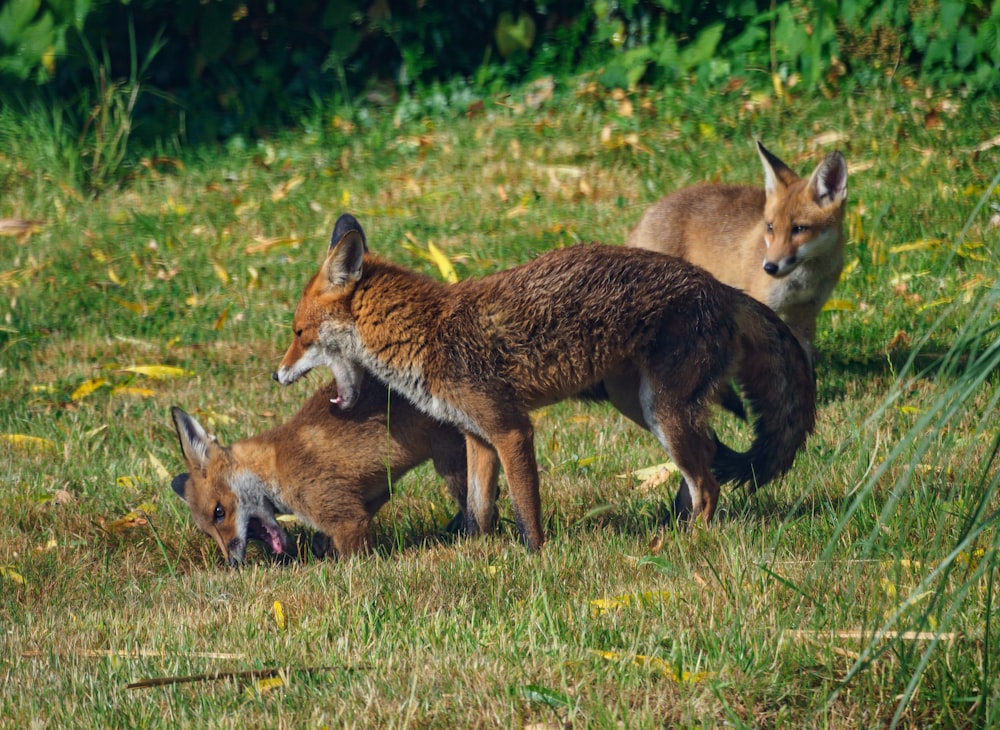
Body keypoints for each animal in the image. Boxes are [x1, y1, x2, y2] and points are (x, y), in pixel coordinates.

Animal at [170, 376, 470, 564]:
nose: (233, 563)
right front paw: (321, 547)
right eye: (208, 532)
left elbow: (355, 558)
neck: (275, 465)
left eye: (219, 512)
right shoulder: (374, 492)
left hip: (450, 462)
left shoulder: (343, 515)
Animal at [272, 216, 812, 552]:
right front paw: (480, 554)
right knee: (706, 465)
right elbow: (480, 511)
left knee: (709, 486)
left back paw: (686, 541)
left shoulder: (511, 429)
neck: (427, 334)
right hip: (641, 406)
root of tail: (722, 288)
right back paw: (670, 527)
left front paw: (535, 557)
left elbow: (524, 508)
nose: (275, 375)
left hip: (662, 410)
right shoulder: (476, 436)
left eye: (298, 333)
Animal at [628, 139, 848, 356]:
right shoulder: (764, 305)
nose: (769, 267)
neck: (804, 281)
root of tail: (647, 213)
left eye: (799, 229)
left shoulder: (806, 315)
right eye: (770, 227)